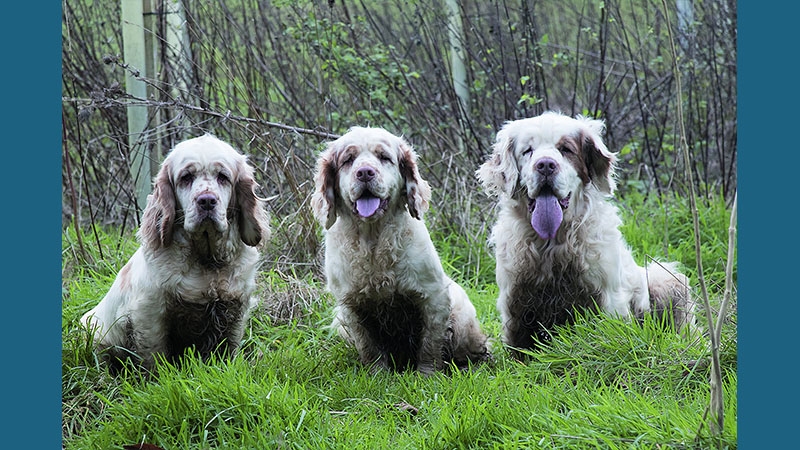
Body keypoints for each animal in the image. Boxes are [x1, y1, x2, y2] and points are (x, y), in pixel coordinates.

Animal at [79, 134, 270, 370]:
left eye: (223, 177)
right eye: (186, 177)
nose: (206, 201)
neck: (207, 262)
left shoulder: (235, 310)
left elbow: (228, 349)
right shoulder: (149, 312)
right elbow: (154, 357)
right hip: (93, 332)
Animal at [310, 125, 488, 372]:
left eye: (384, 157)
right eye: (348, 160)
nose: (365, 172)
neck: (373, 241)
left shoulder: (433, 296)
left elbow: (430, 345)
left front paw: (427, 374)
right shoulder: (350, 305)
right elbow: (369, 346)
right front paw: (378, 374)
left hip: (462, 314)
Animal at [476, 111, 692, 352]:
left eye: (566, 149)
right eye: (528, 150)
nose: (545, 165)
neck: (553, 243)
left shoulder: (608, 297)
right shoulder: (516, 302)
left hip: (666, 278)